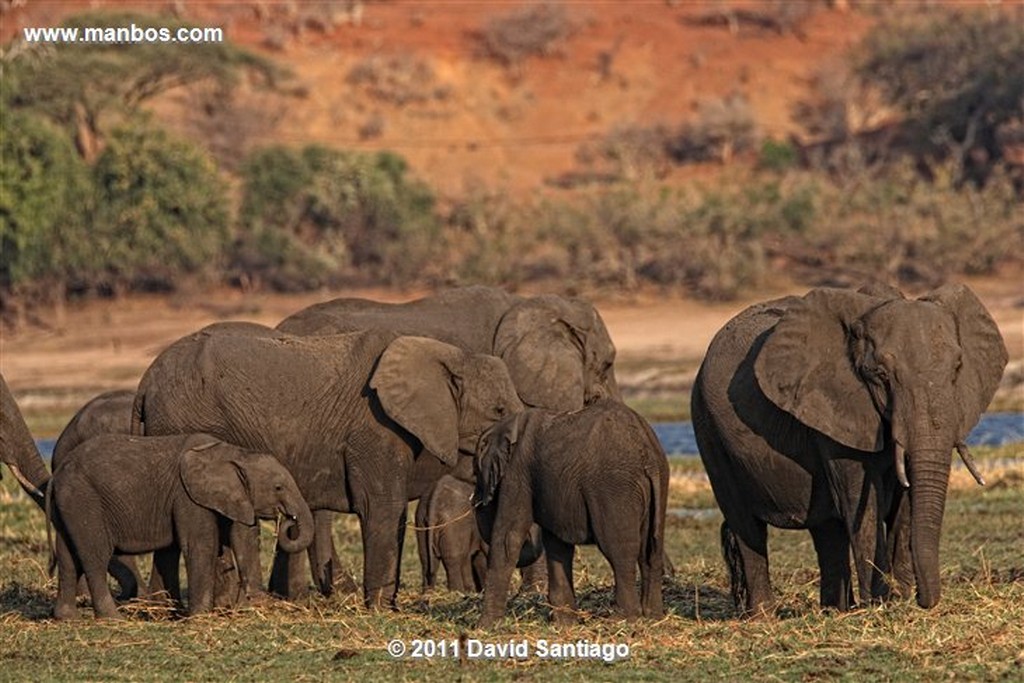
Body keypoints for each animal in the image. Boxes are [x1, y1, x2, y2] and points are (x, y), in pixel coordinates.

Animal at [49, 436, 313, 622]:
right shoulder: (187, 497)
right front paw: (199, 616)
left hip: (67, 505)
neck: (232, 452)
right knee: (95, 556)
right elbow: (201, 545)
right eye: (278, 487)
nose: (289, 519)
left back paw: (67, 618)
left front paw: (252, 606)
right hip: (84, 501)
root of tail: (58, 471)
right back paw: (113, 618)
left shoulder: (228, 496)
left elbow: (240, 538)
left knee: (67, 557)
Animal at [132, 325, 524, 610]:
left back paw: (177, 608)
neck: (447, 354)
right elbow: (382, 506)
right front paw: (381, 609)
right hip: (186, 423)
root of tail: (144, 385)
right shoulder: (374, 427)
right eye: (499, 410)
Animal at [473, 401, 667, 630]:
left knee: (619, 551)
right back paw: (654, 617)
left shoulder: (518, 472)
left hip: (615, 489)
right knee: (651, 550)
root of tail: (648, 452)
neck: (507, 424)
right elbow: (557, 545)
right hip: (659, 483)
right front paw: (565, 624)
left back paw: (621, 619)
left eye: (476, 472)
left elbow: (507, 538)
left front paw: (483, 627)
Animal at [688, 282, 1007, 614]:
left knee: (827, 530)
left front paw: (899, 598)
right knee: (746, 525)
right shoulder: (835, 408)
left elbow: (905, 502)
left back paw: (835, 611)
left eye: (957, 369)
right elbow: (861, 504)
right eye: (880, 375)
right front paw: (881, 604)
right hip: (708, 428)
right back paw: (765, 616)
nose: (923, 600)